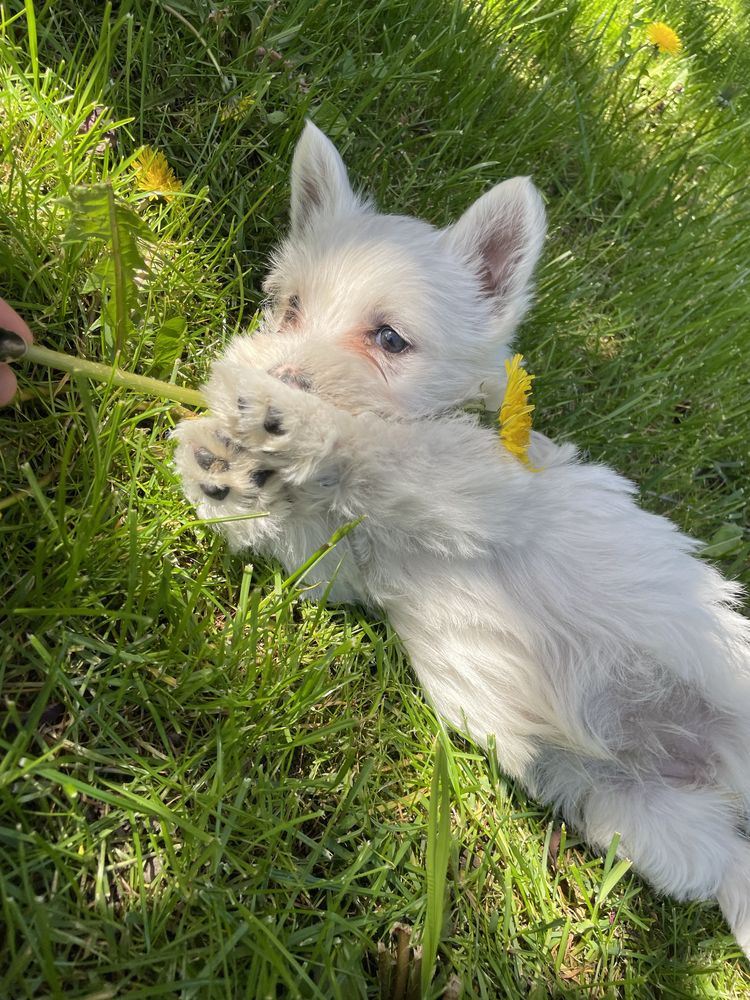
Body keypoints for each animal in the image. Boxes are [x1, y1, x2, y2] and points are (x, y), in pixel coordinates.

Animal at [173, 125, 750, 960]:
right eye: (287, 307)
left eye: (390, 338)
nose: (277, 370)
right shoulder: (337, 560)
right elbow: (292, 520)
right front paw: (223, 469)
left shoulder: (472, 487)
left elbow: (372, 447)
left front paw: (288, 422)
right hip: (652, 821)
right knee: (731, 865)